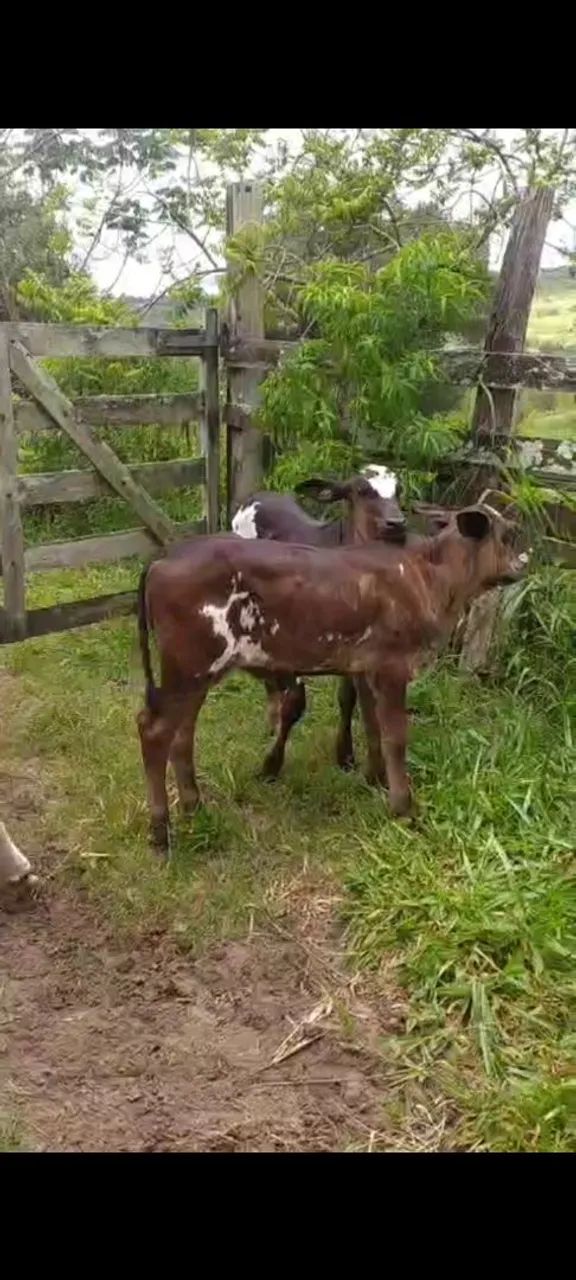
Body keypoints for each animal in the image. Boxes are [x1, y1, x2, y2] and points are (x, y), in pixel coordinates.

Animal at [136, 503, 528, 854]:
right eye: (508, 534)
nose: (526, 561)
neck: (428, 578)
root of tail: (165, 557)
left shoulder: (366, 668)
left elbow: (371, 725)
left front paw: (375, 780)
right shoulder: (392, 667)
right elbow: (395, 737)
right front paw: (404, 808)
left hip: (197, 674)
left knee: (182, 734)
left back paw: (194, 806)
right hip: (189, 666)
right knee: (154, 730)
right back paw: (160, 831)